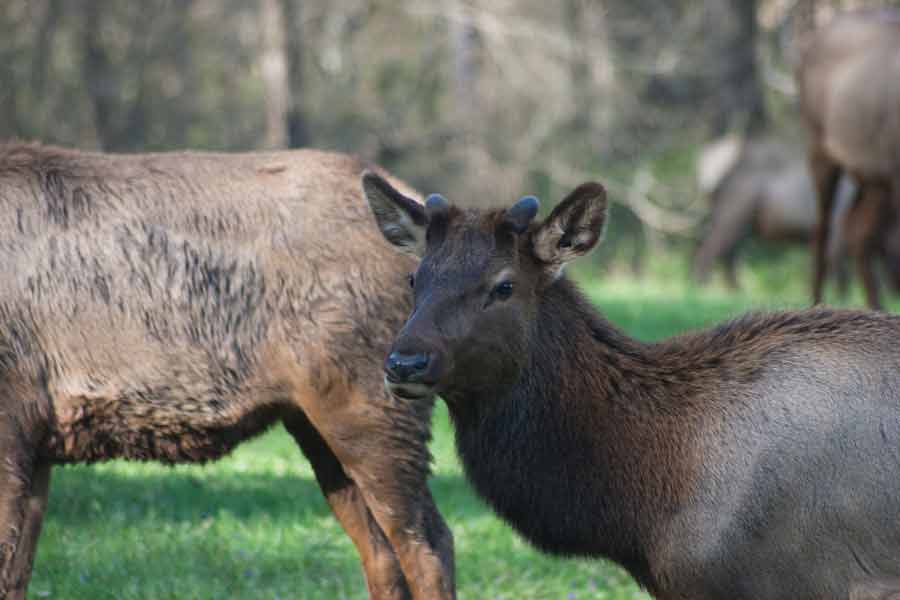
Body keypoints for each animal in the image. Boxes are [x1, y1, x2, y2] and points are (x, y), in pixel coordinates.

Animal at [0, 143, 454, 600]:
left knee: (430, 542)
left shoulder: (13, 417)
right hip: (315, 423)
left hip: (372, 403)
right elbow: (16, 571)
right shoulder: (37, 442)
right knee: (382, 554)